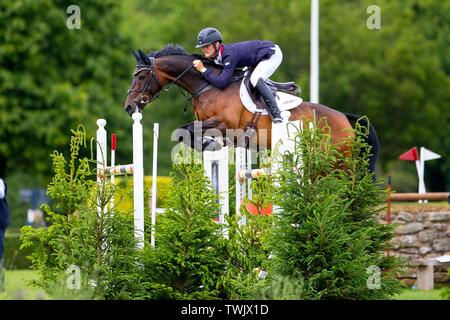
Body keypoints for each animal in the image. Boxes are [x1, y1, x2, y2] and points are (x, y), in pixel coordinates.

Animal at [124, 44, 380, 172]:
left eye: (142, 76)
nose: (129, 107)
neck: (207, 85)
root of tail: (345, 119)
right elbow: (185, 131)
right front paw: (207, 145)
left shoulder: (224, 124)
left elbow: (186, 129)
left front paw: (206, 144)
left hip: (337, 163)